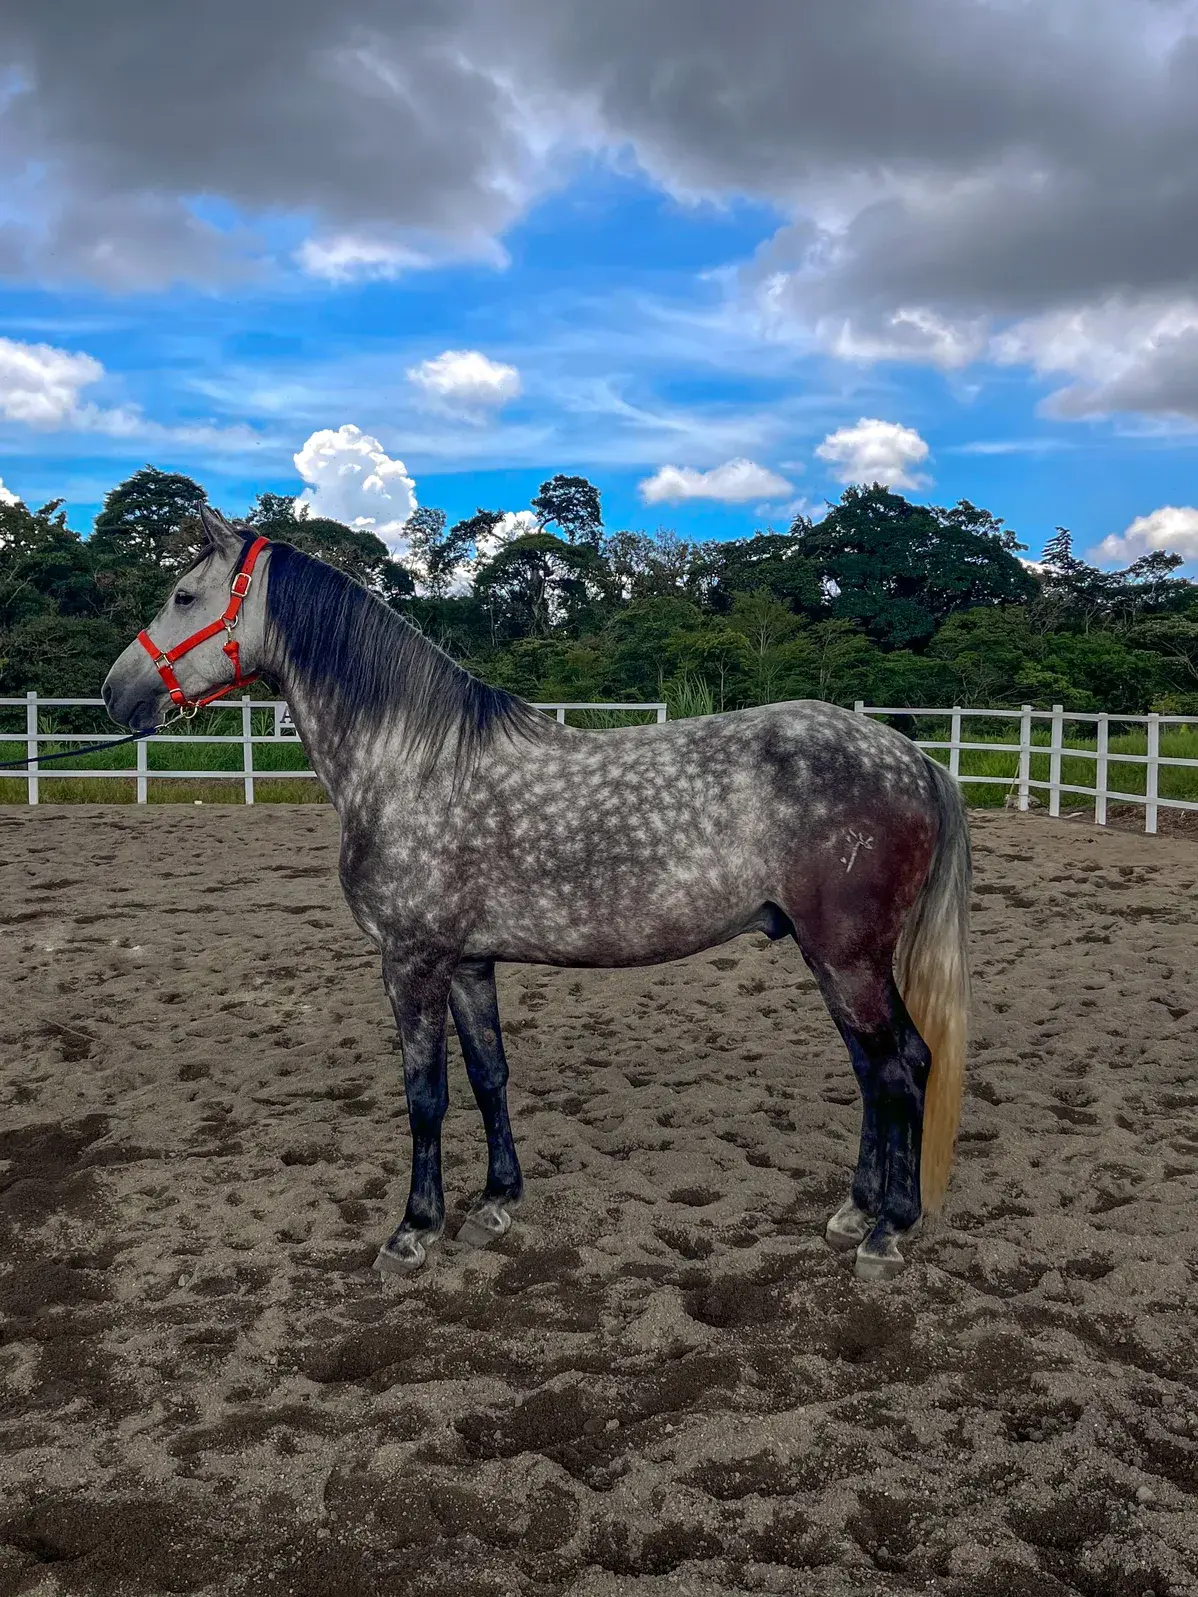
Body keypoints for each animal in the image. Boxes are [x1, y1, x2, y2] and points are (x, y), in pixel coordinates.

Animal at [102, 507, 971, 1284]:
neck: (411, 762)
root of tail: (916, 760)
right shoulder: (466, 962)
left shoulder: (411, 961)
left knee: (899, 1068)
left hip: (848, 957)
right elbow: (489, 1074)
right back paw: (857, 1211)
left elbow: (425, 1094)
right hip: (833, 958)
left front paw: (412, 1232)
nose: (117, 693)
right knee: (876, 1070)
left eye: (184, 594)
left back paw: (888, 1233)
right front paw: (495, 1203)